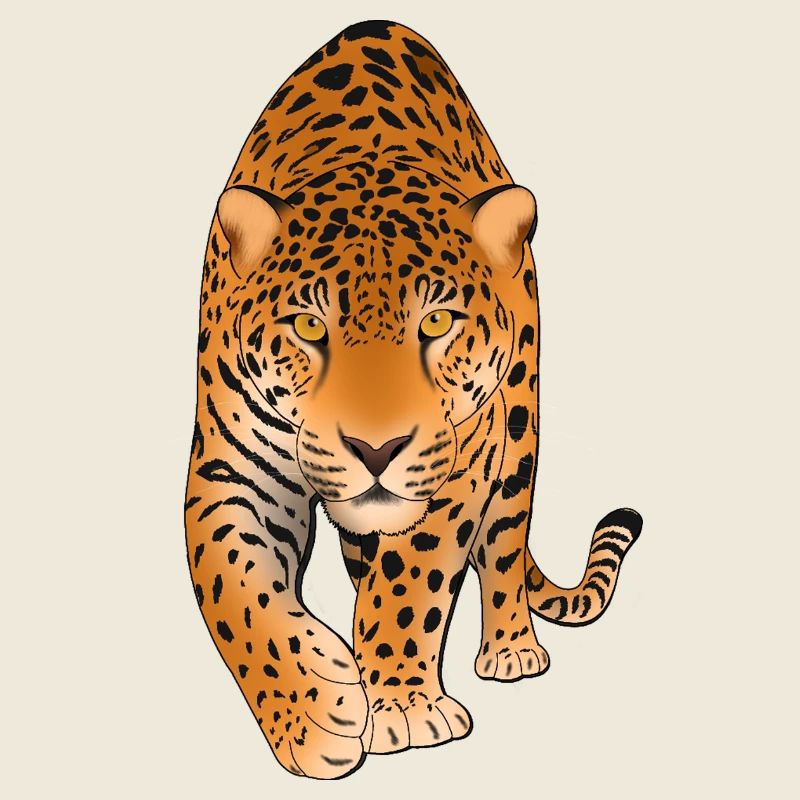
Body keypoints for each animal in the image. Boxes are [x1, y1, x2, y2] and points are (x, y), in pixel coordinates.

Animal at [184, 19, 642, 780]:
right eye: (310, 327)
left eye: (436, 322)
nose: (376, 450)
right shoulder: (232, 467)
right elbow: (233, 587)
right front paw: (314, 713)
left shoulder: (459, 464)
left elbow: (410, 582)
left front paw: (400, 705)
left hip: (518, 430)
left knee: (505, 544)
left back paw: (511, 648)